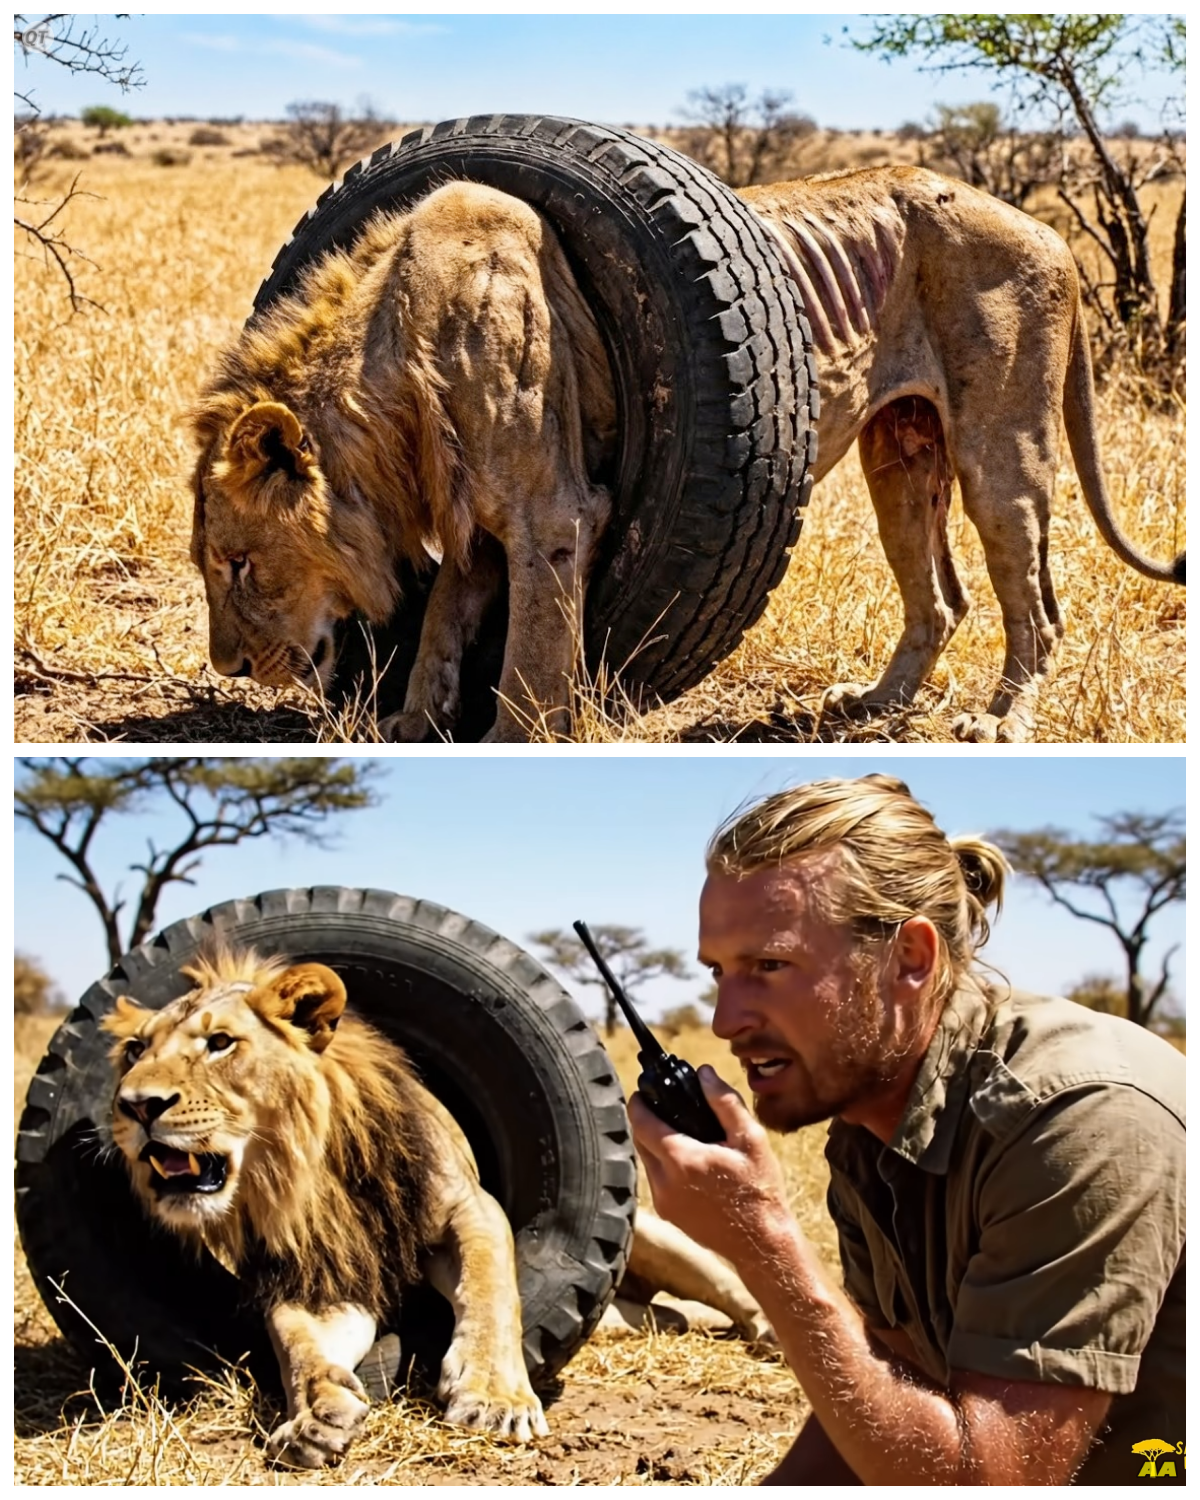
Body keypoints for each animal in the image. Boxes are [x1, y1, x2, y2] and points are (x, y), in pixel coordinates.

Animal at [102, 950, 770, 1468]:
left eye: (220, 1044)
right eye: (134, 1050)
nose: (135, 1106)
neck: (315, 1171)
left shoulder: (468, 1207)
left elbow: (491, 1289)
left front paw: (496, 1400)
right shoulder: (327, 1275)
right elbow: (297, 1342)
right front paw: (316, 1413)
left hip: (666, 1242)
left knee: (735, 1286)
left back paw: (770, 1336)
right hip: (637, 1313)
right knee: (670, 1316)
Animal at [190, 165, 1182, 744]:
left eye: (238, 562)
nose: (230, 668)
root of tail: (1051, 234)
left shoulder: (551, 508)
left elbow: (534, 651)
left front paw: (516, 737)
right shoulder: (475, 513)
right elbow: (442, 617)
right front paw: (411, 721)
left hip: (999, 447)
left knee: (1036, 606)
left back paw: (1003, 721)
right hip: (901, 454)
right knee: (939, 599)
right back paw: (872, 705)